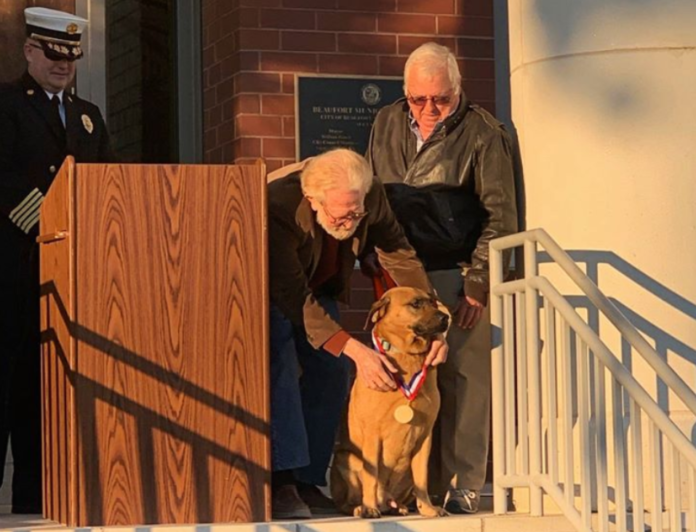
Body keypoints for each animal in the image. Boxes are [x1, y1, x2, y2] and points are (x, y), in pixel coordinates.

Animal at [332, 288, 452, 516]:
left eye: (432, 301)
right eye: (416, 303)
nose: (446, 318)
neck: (407, 354)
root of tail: (386, 500)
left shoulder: (425, 435)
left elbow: (422, 479)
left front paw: (428, 509)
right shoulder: (373, 432)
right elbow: (371, 475)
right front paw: (369, 508)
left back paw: (400, 507)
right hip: (347, 459)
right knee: (347, 501)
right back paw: (361, 507)